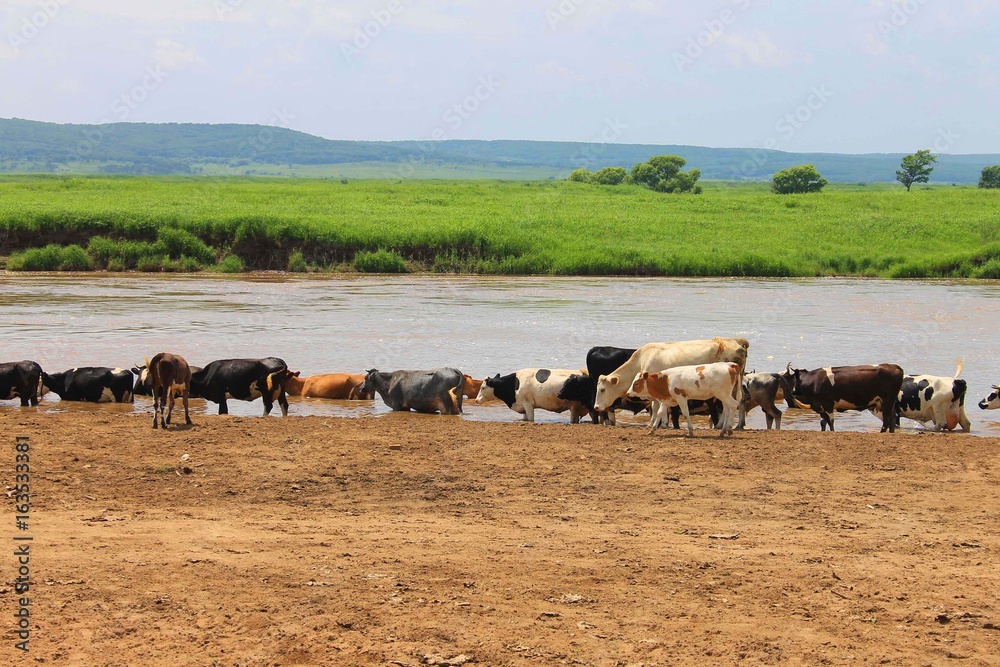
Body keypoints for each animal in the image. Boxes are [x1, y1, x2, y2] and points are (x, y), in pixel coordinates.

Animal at [593, 338, 749, 427]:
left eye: (602, 389)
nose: (596, 407)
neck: (642, 360)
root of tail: (737, 343)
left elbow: (655, 406)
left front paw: (654, 424)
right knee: (735, 401)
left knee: (729, 403)